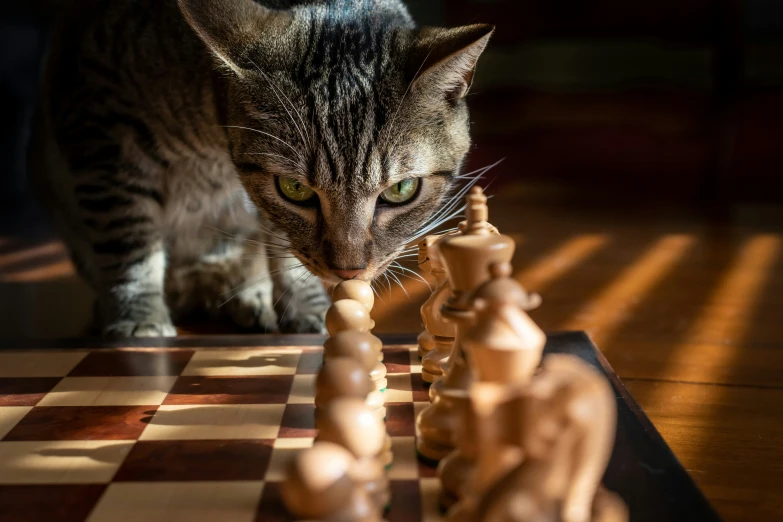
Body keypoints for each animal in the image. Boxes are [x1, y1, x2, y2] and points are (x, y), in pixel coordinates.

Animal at [29, 0, 496, 338]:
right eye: (295, 189)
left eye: (401, 190)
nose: (347, 272)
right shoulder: (98, 123)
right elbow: (129, 242)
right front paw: (138, 317)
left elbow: (283, 246)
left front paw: (306, 308)